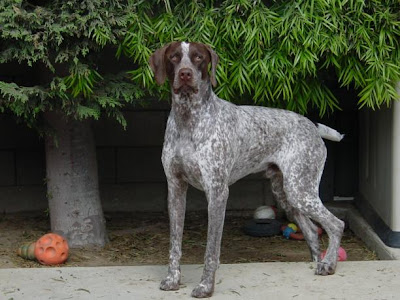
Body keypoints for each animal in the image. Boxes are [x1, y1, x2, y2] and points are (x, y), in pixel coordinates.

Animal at [148, 42, 346, 298]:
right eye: (173, 57)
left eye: (198, 57)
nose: (185, 74)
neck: (189, 118)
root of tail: (312, 124)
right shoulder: (175, 189)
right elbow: (175, 244)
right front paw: (173, 280)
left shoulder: (217, 192)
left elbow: (211, 250)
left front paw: (205, 286)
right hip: (287, 194)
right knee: (312, 231)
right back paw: (317, 262)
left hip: (301, 191)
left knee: (336, 224)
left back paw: (329, 264)